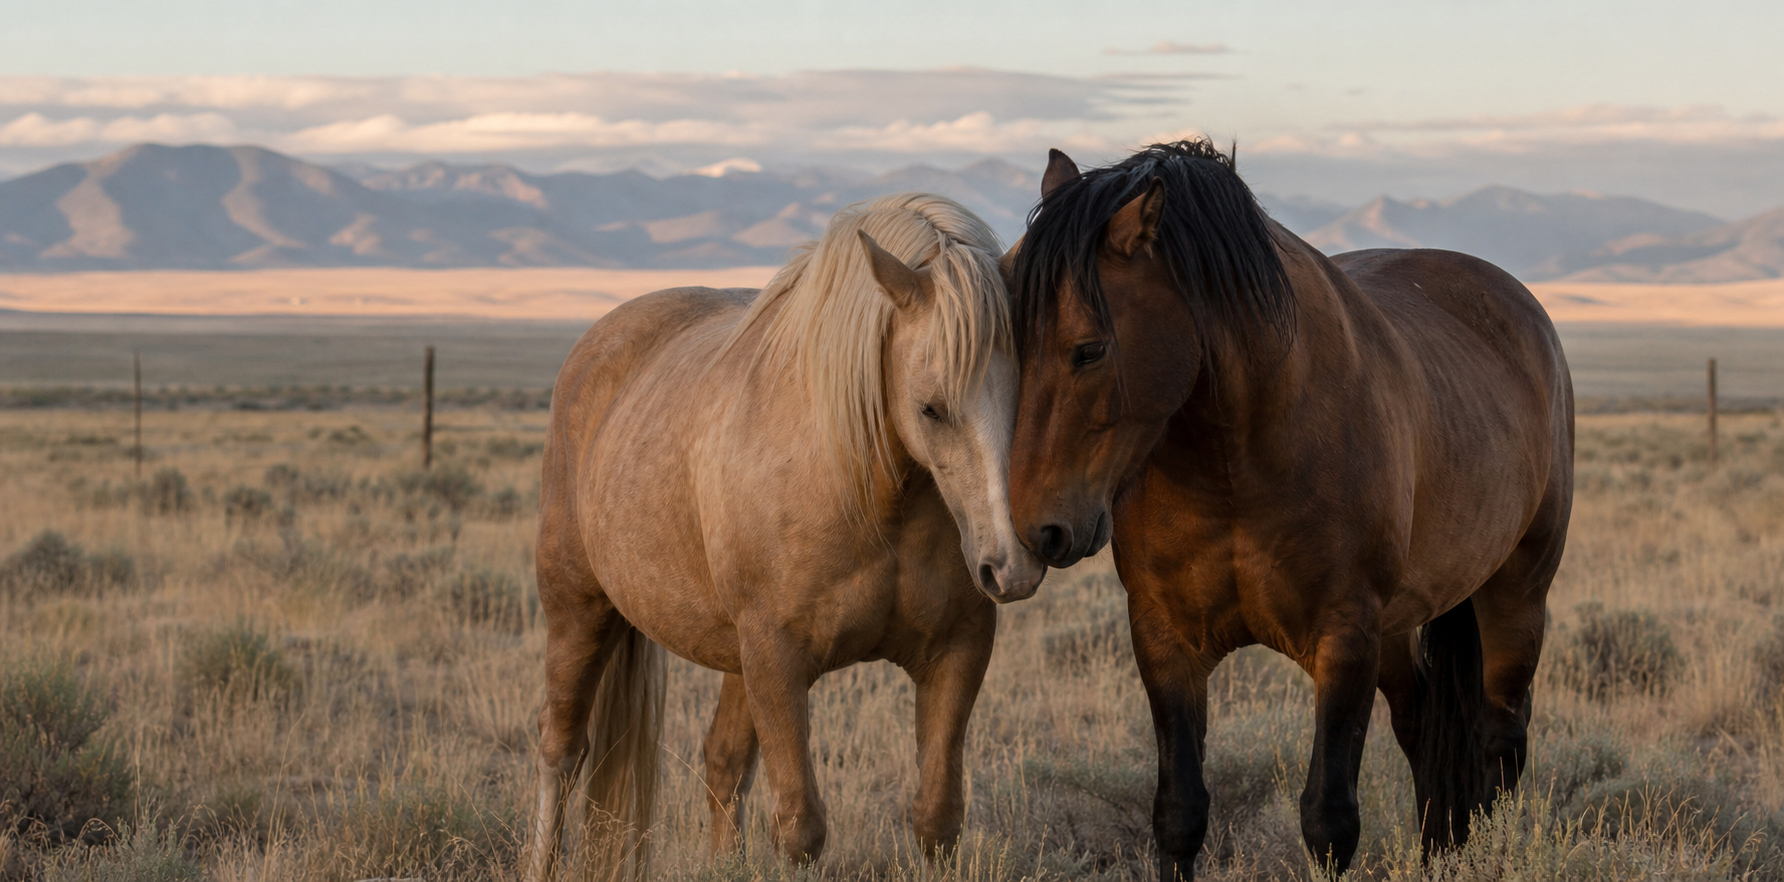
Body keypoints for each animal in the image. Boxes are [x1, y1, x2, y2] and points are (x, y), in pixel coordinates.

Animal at [525, 192, 1047, 880]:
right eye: (931, 408)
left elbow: (937, 818)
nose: (1011, 565)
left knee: (720, 762)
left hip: (728, 654)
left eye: (1027, 397)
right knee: (560, 749)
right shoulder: (777, 660)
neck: (867, 498)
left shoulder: (957, 651)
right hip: (578, 611)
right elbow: (801, 828)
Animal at [1003, 141, 1573, 879]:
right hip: (1400, 627)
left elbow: (1329, 819)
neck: (1235, 460)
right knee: (1425, 729)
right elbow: (1179, 814)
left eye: (1089, 349)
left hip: (1516, 593)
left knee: (1501, 740)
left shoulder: (1344, 638)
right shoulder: (1164, 640)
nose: (1037, 528)